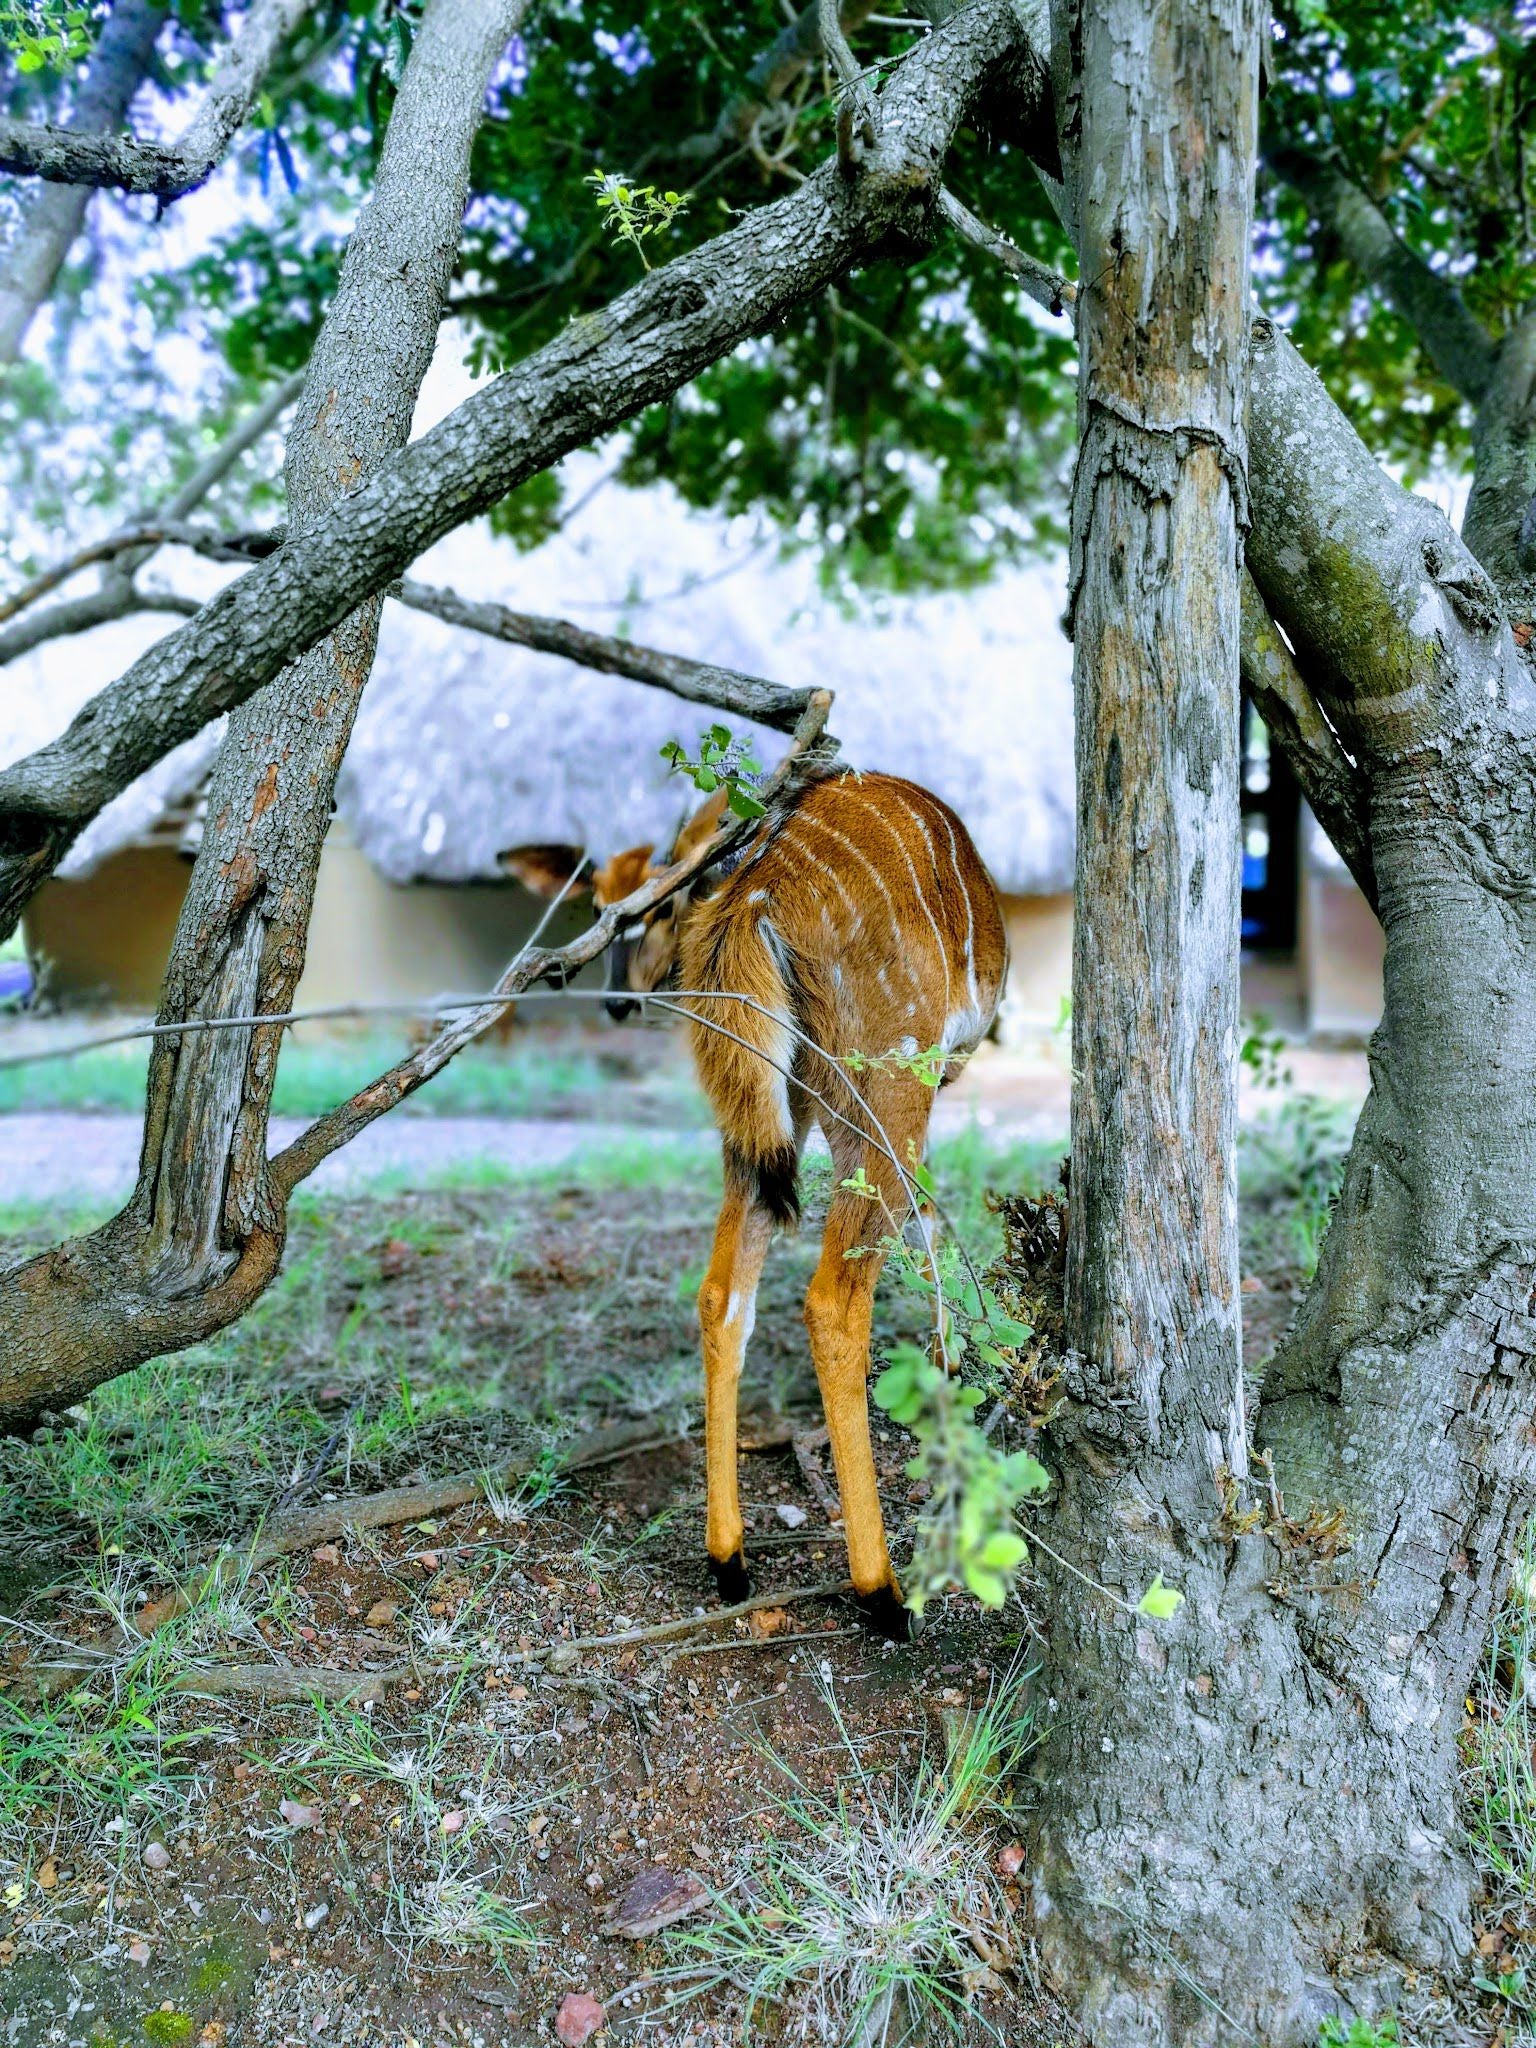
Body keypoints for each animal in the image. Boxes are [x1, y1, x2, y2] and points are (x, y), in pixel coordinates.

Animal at [505, 770, 1011, 1630]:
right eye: (604, 907)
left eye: (654, 905)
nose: (617, 1002)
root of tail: (752, 900)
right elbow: (929, 1221)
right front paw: (950, 1367)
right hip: (876, 1081)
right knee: (832, 1297)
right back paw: (883, 1593)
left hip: (767, 1102)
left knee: (721, 1291)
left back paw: (729, 1560)